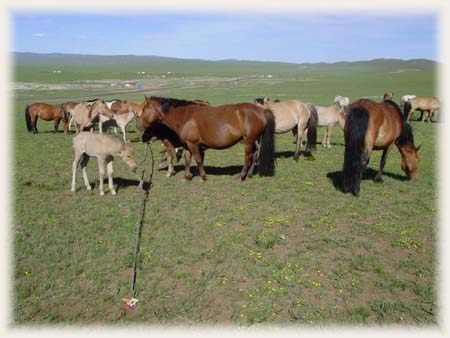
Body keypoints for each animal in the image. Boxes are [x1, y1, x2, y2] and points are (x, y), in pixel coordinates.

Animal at [135, 96, 276, 181]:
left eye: (144, 110)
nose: (138, 126)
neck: (185, 117)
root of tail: (261, 111)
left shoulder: (193, 144)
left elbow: (198, 159)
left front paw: (203, 176)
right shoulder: (187, 145)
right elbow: (187, 159)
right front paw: (187, 176)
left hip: (248, 141)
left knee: (248, 157)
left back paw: (242, 176)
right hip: (254, 140)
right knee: (255, 156)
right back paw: (249, 174)